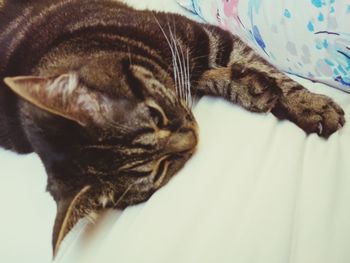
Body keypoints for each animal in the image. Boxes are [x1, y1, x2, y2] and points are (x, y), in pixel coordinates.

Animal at [0, 0, 344, 258]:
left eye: (156, 114)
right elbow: (214, 77)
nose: (192, 139)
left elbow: (265, 70)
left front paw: (308, 104)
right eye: (161, 168)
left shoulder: (204, 36)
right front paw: (250, 87)